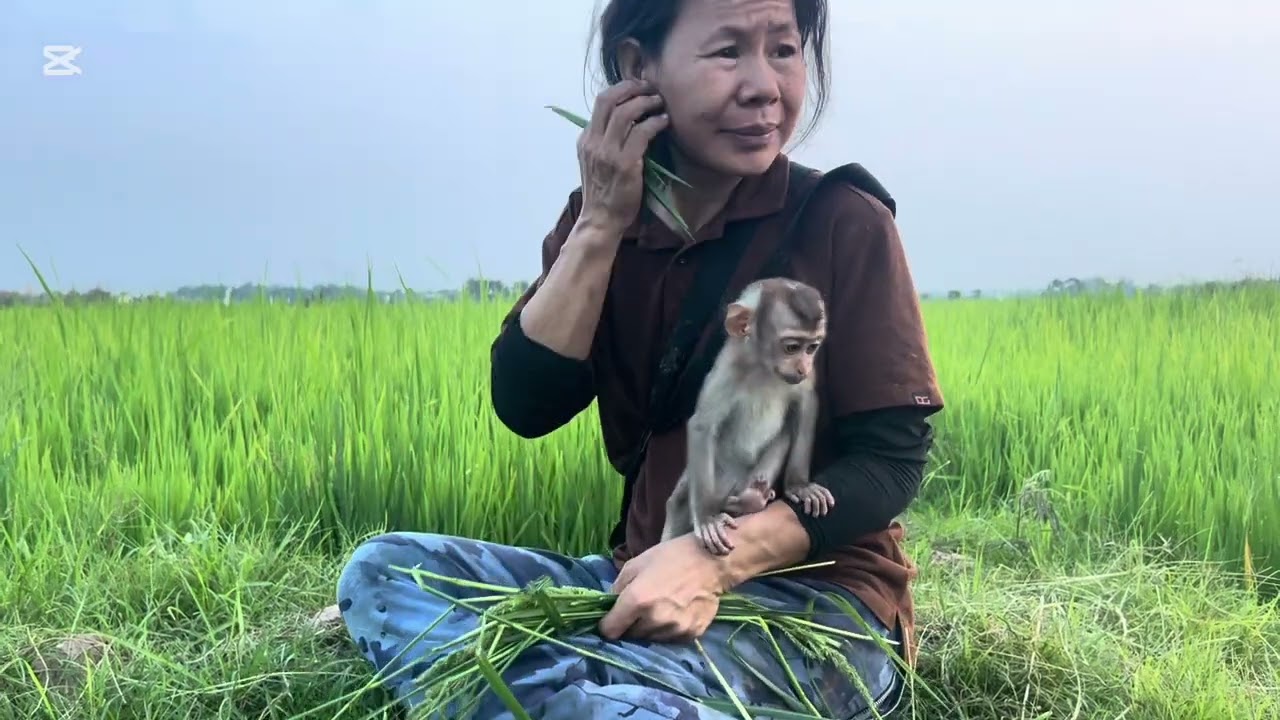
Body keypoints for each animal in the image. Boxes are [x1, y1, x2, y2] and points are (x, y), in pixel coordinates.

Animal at [661, 277, 836, 556]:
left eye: (812, 348)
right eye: (792, 347)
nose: (803, 368)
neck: (763, 368)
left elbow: (807, 404)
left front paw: (799, 484)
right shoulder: (727, 371)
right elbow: (702, 426)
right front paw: (707, 517)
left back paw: (752, 498)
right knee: (679, 501)